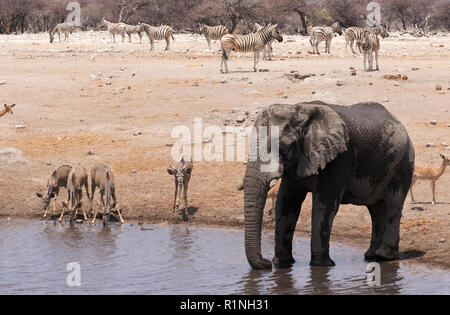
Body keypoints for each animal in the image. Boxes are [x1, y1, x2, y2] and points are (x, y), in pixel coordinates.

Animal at [243, 101, 414, 270]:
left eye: (281, 146)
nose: (265, 263)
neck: (300, 110)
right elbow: (286, 203)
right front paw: (282, 263)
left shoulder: (339, 158)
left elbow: (324, 205)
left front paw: (321, 265)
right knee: (376, 210)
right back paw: (372, 256)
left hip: (404, 164)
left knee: (393, 205)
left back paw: (384, 256)